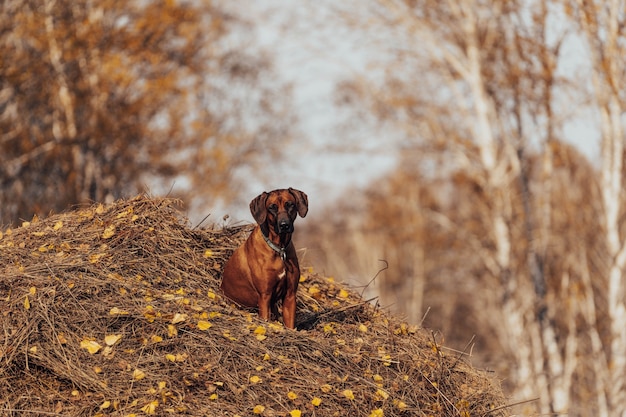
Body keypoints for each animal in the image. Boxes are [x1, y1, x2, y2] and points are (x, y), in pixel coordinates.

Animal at [219, 188, 308, 328]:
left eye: (290, 205)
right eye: (272, 207)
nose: (284, 225)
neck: (279, 249)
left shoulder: (290, 295)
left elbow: (290, 325)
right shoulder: (264, 296)